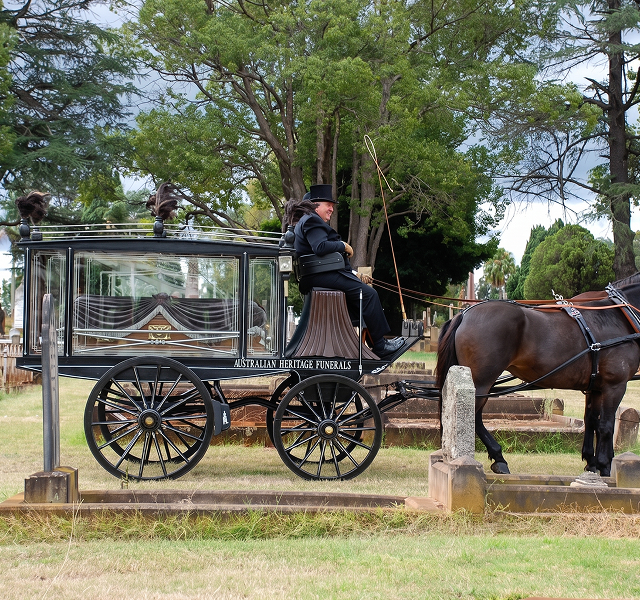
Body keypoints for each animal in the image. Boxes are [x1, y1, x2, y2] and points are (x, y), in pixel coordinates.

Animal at [435, 273, 640, 477]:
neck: (619, 315)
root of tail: (464, 314)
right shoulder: (615, 385)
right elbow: (606, 426)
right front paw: (605, 467)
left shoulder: (596, 387)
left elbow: (591, 421)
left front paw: (591, 463)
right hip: (481, 382)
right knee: (473, 417)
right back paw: (498, 457)